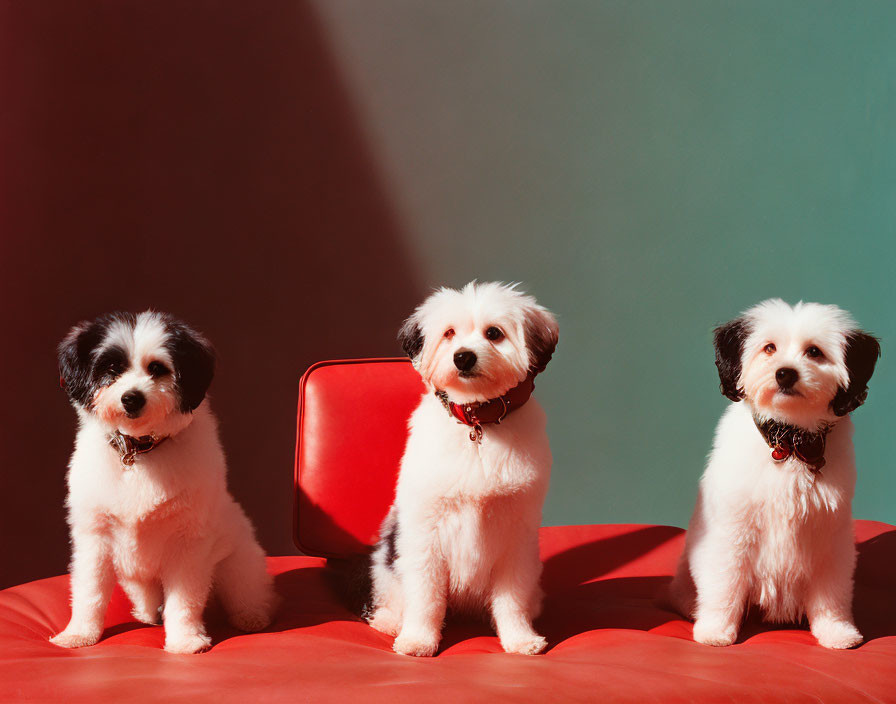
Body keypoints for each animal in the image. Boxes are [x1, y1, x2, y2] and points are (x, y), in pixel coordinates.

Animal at [51, 314, 274, 656]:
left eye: (157, 368)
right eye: (112, 367)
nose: (131, 398)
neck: (139, 453)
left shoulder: (188, 542)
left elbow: (184, 599)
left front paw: (185, 640)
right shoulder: (94, 536)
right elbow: (90, 591)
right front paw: (79, 634)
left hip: (238, 564)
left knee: (248, 591)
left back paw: (251, 616)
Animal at [366, 280, 560, 656]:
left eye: (494, 333)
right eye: (449, 333)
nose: (463, 356)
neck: (478, 425)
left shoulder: (517, 533)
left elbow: (511, 597)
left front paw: (520, 638)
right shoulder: (425, 530)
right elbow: (425, 595)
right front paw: (418, 639)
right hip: (388, 560)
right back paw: (390, 621)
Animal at [668, 296, 880, 648]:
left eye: (814, 352)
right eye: (769, 348)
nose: (785, 374)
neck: (789, 441)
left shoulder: (829, 535)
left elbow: (832, 591)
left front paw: (837, 631)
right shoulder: (732, 529)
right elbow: (725, 581)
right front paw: (716, 629)